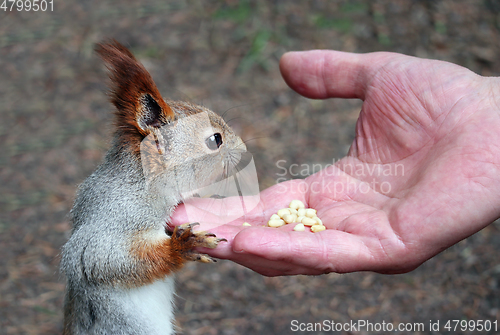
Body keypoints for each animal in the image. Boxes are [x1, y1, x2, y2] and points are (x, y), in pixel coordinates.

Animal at [60, 40, 246, 334]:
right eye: (215, 140)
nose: (243, 148)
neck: (144, 183)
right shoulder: (115, 218)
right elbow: (103, 261)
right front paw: (182, 247)